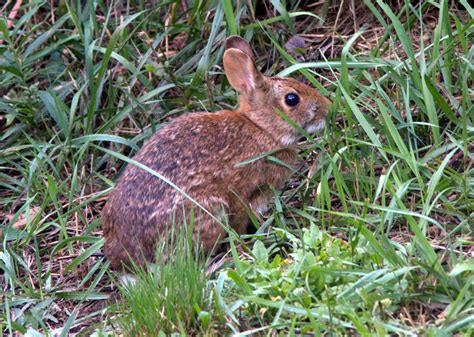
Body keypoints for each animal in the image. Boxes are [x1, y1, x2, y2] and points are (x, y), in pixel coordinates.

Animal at [101, 35, 330, 270]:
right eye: (292, 99)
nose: (328, 108)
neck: (261, 128)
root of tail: (123, 257)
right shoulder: (243, 193)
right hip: (208, 211)